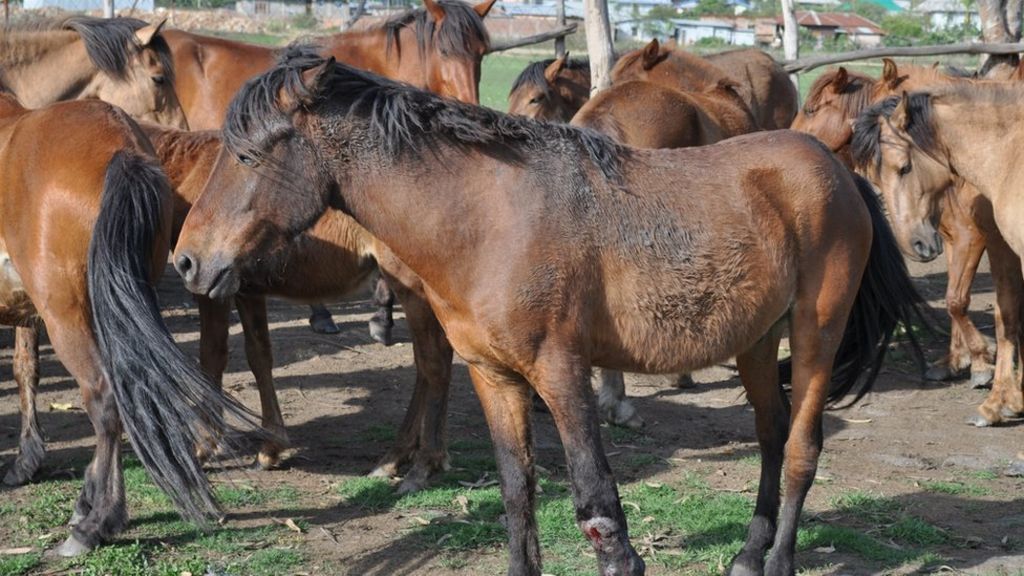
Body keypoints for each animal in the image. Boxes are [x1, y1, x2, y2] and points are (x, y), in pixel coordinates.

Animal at [0, 91, 260, 556]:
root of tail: (120, 146)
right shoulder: (25, 310)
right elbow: (25, 369)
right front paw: (27, 459)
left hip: (70, 315)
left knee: (104, 400)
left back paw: (95, 523)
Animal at [171, 54, 926, 576]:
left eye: (248, 154)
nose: (186, 261)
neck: (485, 219)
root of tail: (836, 170)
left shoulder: (561, 371)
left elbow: (599, 510)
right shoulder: (494, 375)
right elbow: (517, 493)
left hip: (816, 332)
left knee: (800, 449)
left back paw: (778, 560)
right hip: (756, 342)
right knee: (771, 438)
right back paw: (747, 553)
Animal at [853, 86, 1024, 428]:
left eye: (904, 167)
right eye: (875, 180)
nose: (915, 244)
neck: (1009, 158)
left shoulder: (990, 242)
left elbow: (1004, 315)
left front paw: (997, 401)